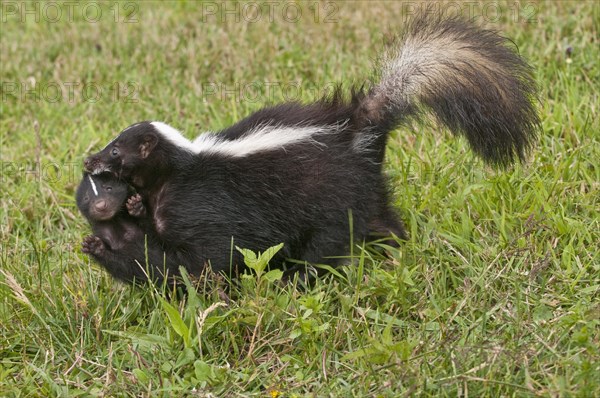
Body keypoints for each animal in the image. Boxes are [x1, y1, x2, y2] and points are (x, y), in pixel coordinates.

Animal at [79, 15, 540, 282]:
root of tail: (358, 127)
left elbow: (208, 255)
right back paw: (396, 250)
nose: (90, 158)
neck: (176, 170)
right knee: (381, 218)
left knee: (326, 244)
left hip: (327, 199)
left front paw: (212, 289)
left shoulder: (201, 206)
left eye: (116, 151)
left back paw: (304, 278)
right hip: (365, 189)